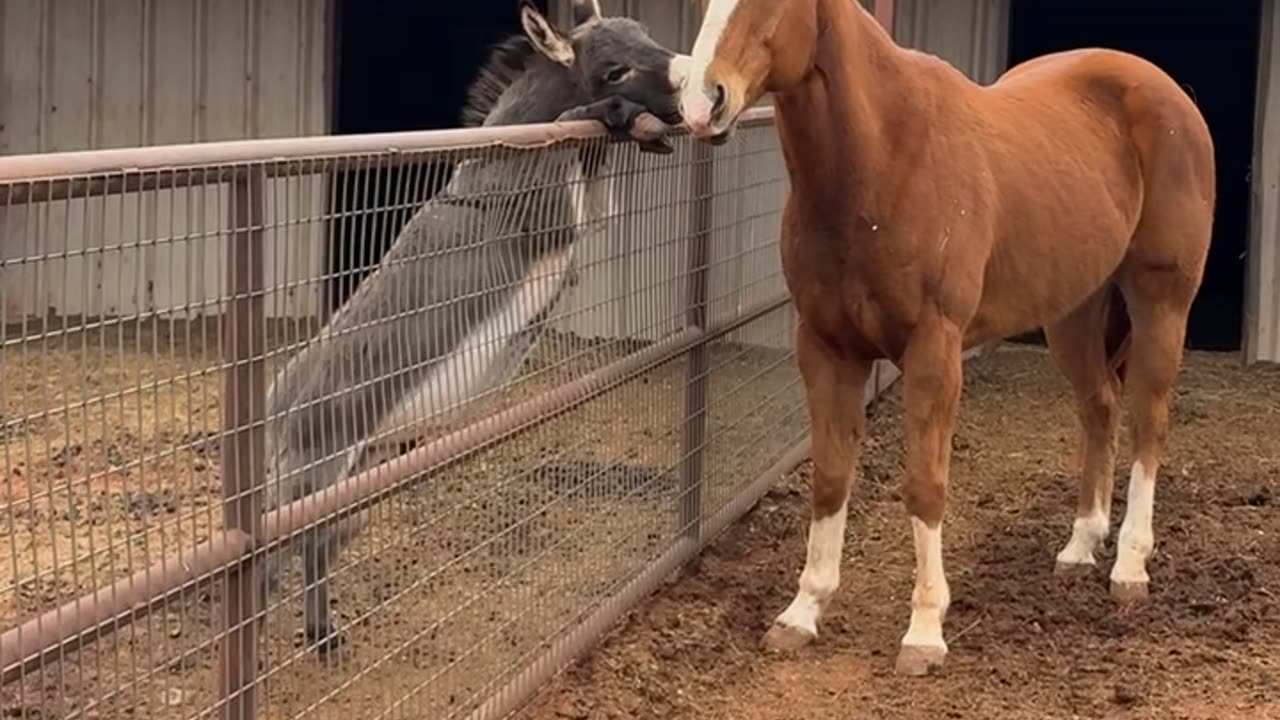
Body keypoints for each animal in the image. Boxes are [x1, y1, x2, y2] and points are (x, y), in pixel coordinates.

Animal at [675, 0, 1213, 671]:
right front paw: (802, 612)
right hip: (1074, 311)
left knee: (1148, 421)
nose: (702, 102)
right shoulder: (825, 348)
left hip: (1160, 299)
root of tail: (1164, 92)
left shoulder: (935, 349)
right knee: (1101, 408)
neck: (883, 158)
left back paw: (1130, 568)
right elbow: (830, 478)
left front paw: (925, 630)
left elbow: (925, 486)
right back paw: (1081, 546)